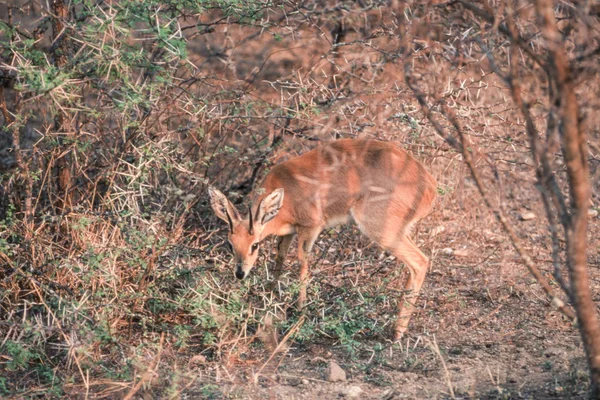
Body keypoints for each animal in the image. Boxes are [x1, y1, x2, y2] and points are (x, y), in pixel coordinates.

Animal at [209, 139, 438, 340]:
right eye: (230, 244)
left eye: (254, 245)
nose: (240, 273)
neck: (286, 193)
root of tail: (429, 186)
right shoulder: (288, 233)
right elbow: (280, 259)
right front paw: (270, 293)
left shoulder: (310, 227)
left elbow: (302, 263)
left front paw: (300, 310)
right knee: (413, 265)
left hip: (381, 229)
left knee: (420, 261)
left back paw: (398, 332)